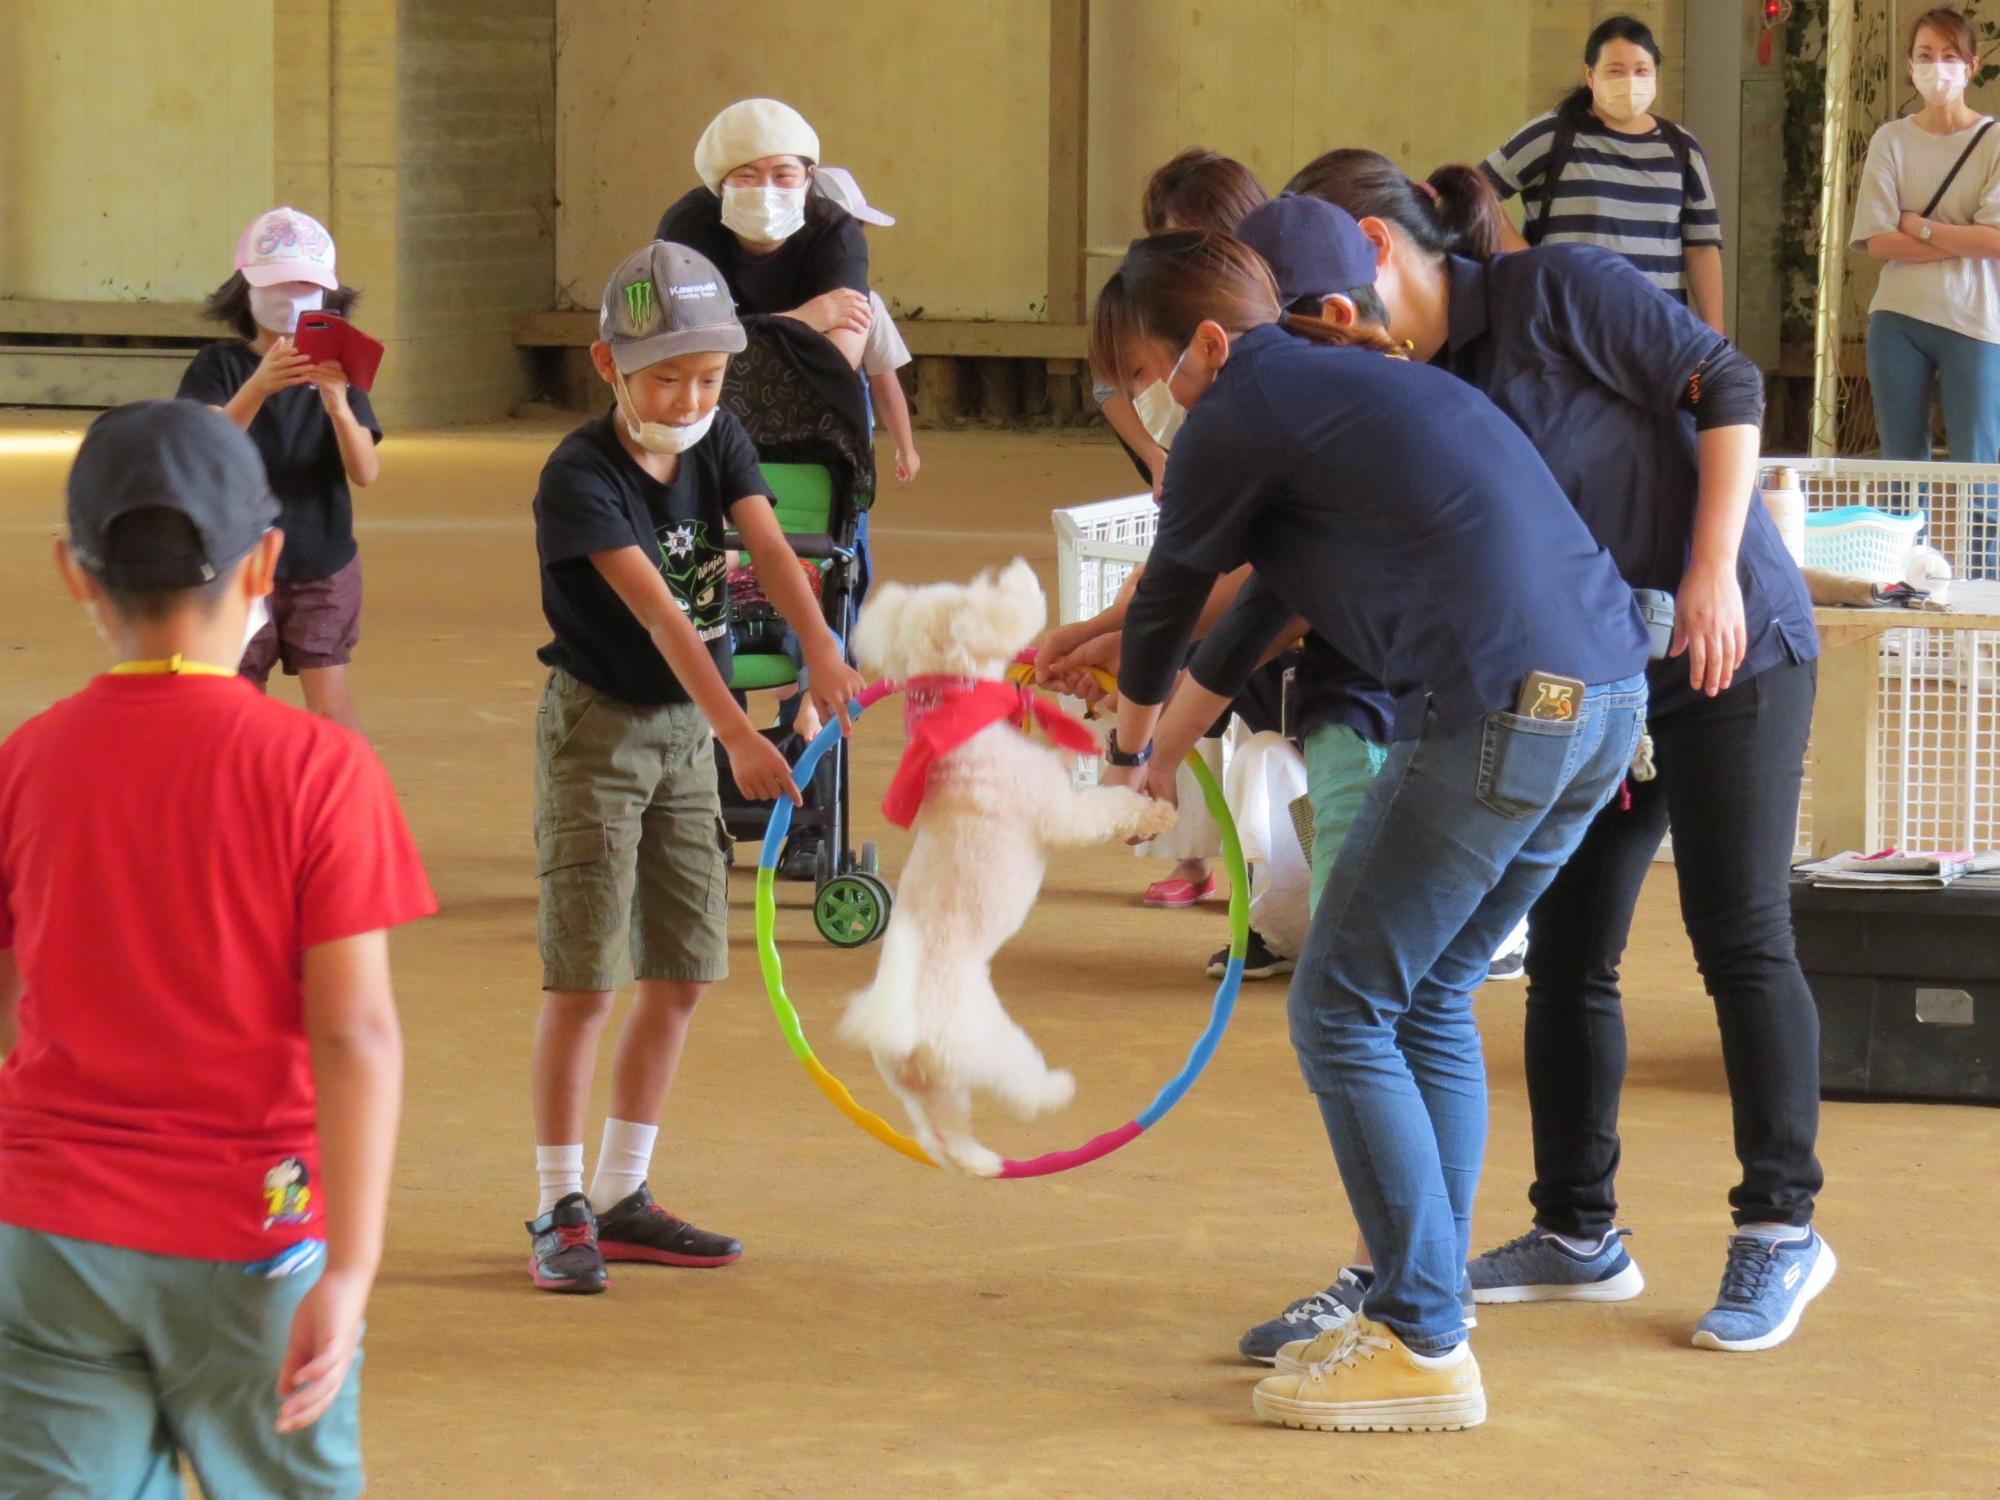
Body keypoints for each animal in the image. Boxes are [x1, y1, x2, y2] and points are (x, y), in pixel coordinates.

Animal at [840, 560, 1176, 1184]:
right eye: (981, 598)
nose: (1015, 575)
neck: (955, 719)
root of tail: (901, 1033)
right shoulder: (1061, 813)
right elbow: (1103, 807)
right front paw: (1153, 810)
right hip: (992, 1046)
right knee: (1020, 1087)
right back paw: (1054, 1091)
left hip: (933, 1094)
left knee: (945, 1137)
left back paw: (981, 1162)